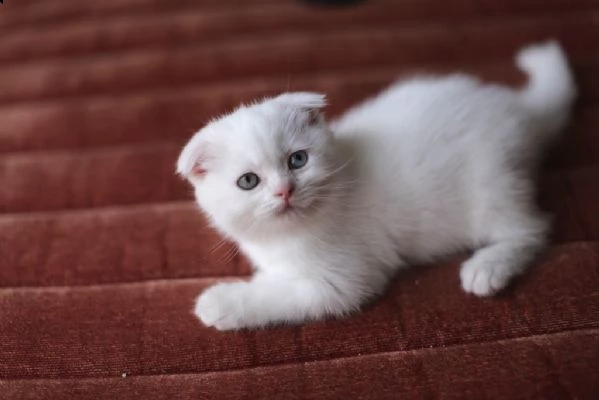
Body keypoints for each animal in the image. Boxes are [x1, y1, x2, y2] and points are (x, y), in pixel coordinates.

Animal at [177, 41, 576, 332]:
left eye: (297, 160)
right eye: (248, 181)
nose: (284, 191)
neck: (288, 237)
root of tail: (519, 110)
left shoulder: (343, 281)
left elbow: (281, 296)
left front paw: (219, 303)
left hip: (492, 185)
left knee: (533, 228)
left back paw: (487, 268)